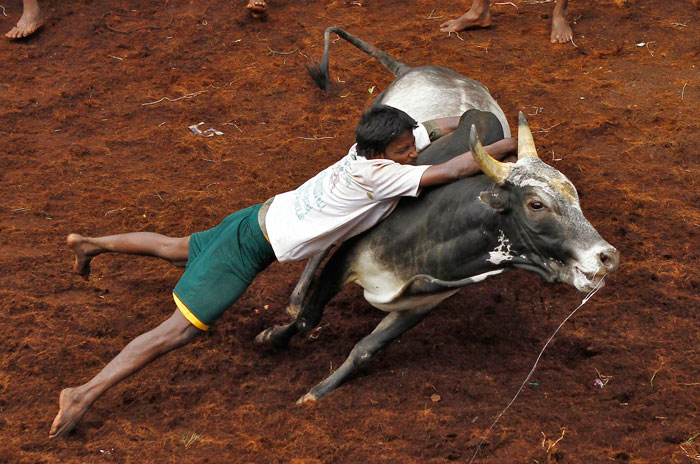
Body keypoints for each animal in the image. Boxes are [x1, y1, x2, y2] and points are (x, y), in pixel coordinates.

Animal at [256, 27, 620, 404]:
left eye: (575, 197)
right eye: (536, 204)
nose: (607, 256)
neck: (432, 238)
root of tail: (414, 69)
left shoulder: (422, 304)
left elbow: (365, 349)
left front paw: (319, 390)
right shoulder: (346, 261)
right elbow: (309, 318)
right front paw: (273, 338)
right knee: (322, 244)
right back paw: (295, 297)